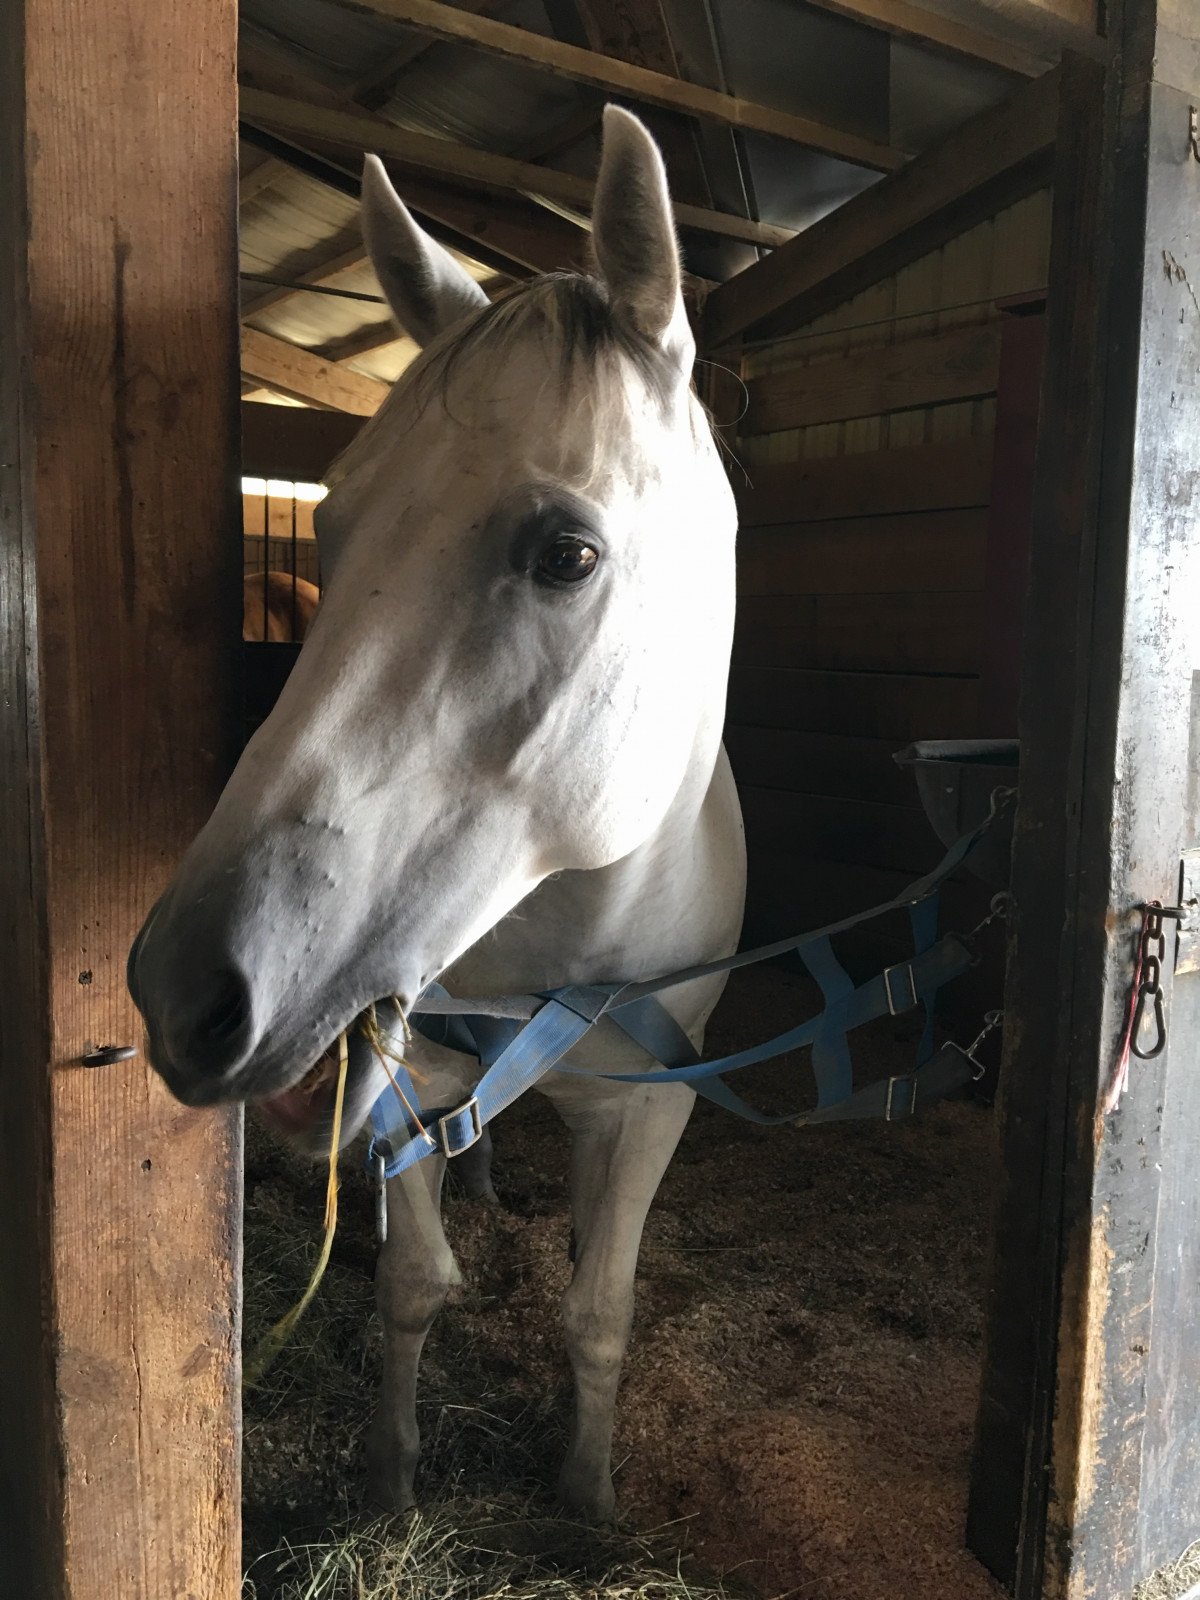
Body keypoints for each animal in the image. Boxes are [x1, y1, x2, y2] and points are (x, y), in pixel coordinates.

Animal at [128, 107, 746, 1524]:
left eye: (567, 554)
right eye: (335, 525)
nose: (183, 993)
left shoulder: (656, 1105)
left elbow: (600, 1311)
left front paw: (586, 1498)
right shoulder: (402, 1082)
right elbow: (415, 1288)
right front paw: (390, 1477)